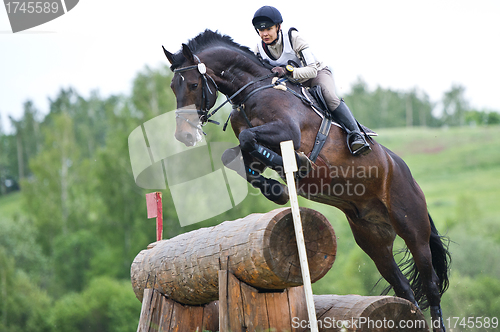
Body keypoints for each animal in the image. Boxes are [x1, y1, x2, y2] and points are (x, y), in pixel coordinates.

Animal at [162, 29, 452, 330]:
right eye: (173, 87)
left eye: (193, 84)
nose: (183, 136)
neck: (254, 89)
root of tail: (406, 174)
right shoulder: (255, 147)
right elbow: (234, 154)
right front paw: (276, 189)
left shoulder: (287, 131)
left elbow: (248, 139)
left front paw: (296, 165)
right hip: (372, 238)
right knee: (403, 287)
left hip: (412, 226)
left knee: (430, 283)